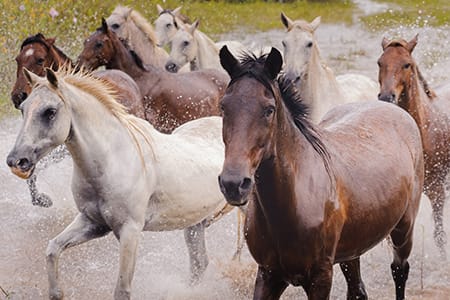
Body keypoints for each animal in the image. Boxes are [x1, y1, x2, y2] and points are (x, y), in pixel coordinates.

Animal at [6, 68, 232, 300]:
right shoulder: (92, 223)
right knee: (199, 264)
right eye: (23, 109)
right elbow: (52, 249)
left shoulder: (129, 231)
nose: (16, 160)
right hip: (195, 223)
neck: (112, 161)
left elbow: (122, 289)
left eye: (50, 111)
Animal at [218, 45, 426, 298]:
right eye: (224, 106)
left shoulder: (320, 276)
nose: (233, 184)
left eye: (269, 109)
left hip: (403, 229)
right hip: (352, 249)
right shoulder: (268, 275)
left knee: (399, 271)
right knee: (357, 290)